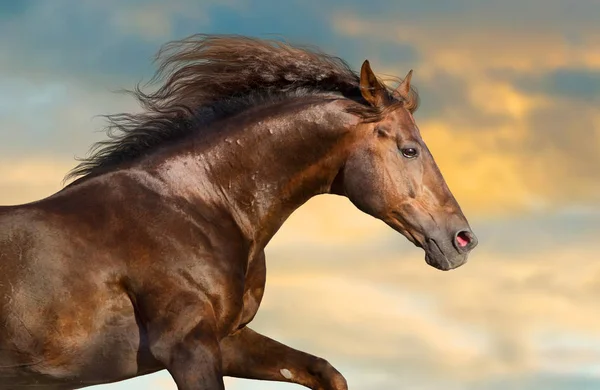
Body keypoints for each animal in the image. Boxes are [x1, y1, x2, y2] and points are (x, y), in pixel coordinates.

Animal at [0, 35, 478, 388]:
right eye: (409, 149)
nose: (462, 240)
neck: (195, 206)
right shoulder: (187, 347)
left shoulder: (226, 341)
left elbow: (326, 373)